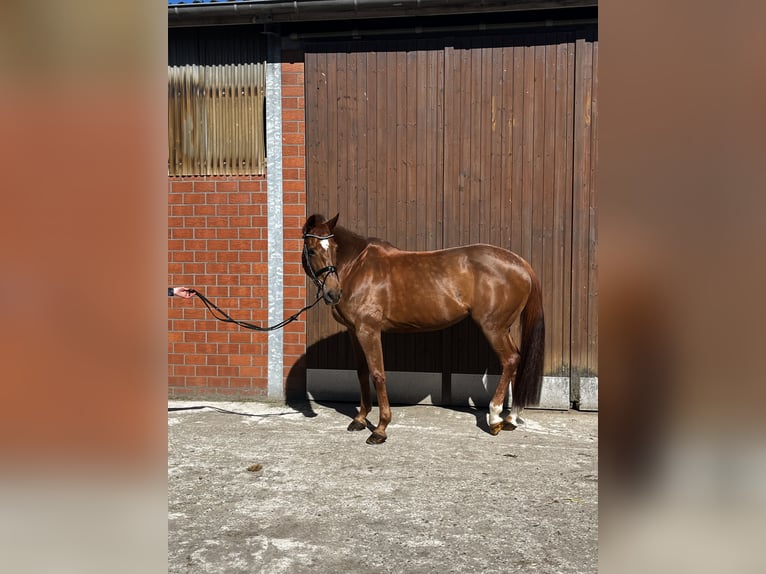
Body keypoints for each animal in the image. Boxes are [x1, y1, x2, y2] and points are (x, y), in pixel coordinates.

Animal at [301, 213, 545, 444]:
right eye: (312, 251)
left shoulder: (368, 330)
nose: (333, 293)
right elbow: (362, 372)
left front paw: (380, 429)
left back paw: (494, 418)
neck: (357, 267)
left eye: (334, 248)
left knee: (510, 360)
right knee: (516, 360)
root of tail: (520, 263)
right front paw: (360, 419)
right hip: (503, 328)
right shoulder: (355, 332)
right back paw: (510, 418)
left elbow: (378, 374)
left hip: (493, 328)